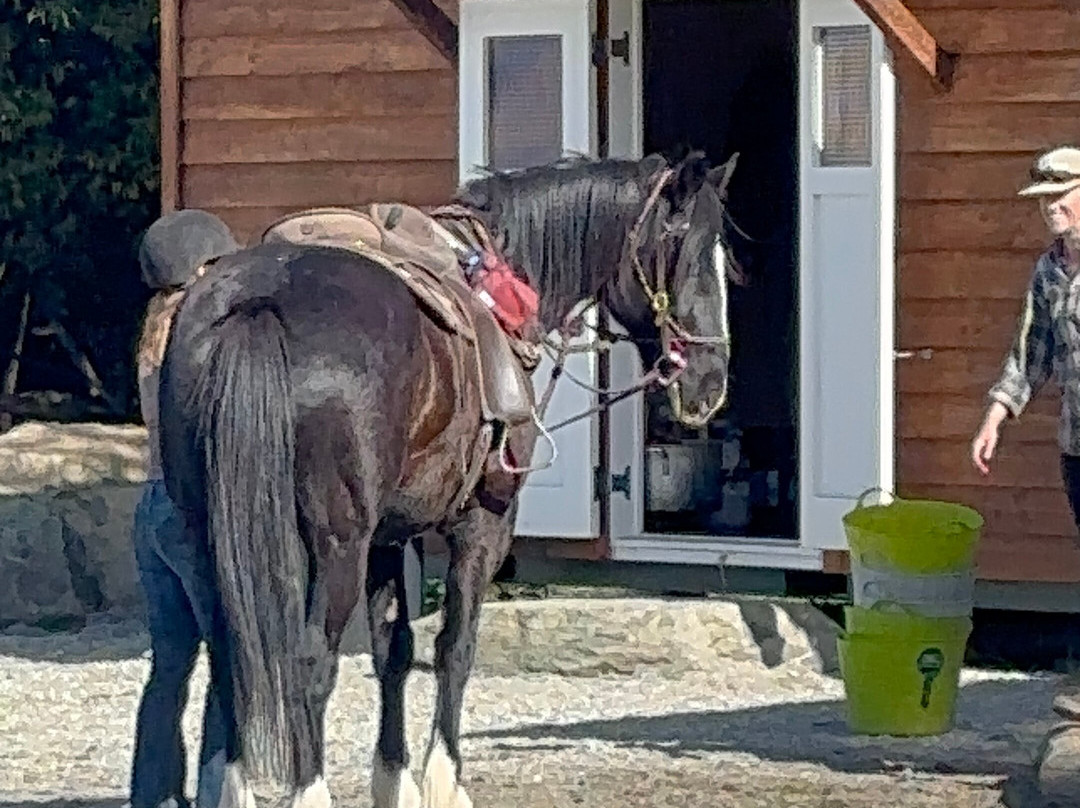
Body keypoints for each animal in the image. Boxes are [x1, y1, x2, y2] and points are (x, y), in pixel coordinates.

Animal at [156, 149, 740, 808]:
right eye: (691, 254)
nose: (711, 383)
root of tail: (259, 303)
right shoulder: (481, 526)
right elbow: (455, 649)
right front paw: (443, 780)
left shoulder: (389, 536)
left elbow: (394, 650)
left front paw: (394, 780)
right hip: (335, 546)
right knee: (308, 663)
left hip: (211, 532)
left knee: (232, 650)